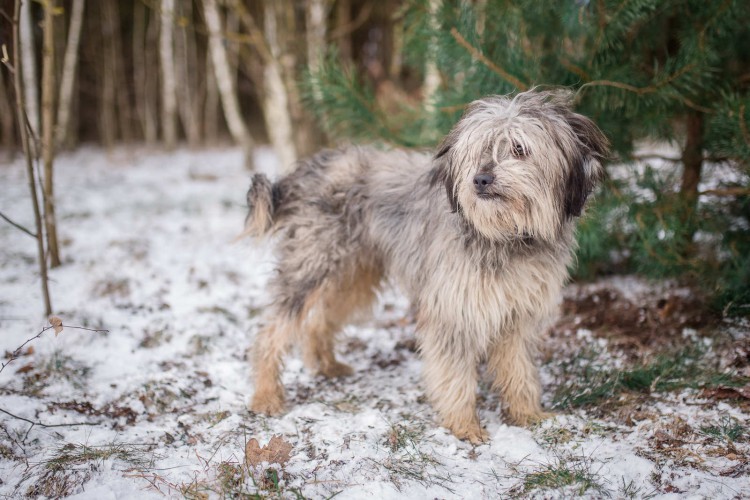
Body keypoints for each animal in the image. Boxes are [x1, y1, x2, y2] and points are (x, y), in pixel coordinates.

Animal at [244, 89, 608, 442]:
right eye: (477, 150)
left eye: (519, 149)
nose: (480, 180)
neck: (507, 236)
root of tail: (313, 167)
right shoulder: (453, 309)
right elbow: (455, 373)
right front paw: (465, 426)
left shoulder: (517, 315)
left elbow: (520, 369)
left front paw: (528, 415)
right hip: (310, 265)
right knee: (272, 331)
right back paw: (266, 394)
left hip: (353, 274)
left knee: (321, 318)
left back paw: (327, 364)